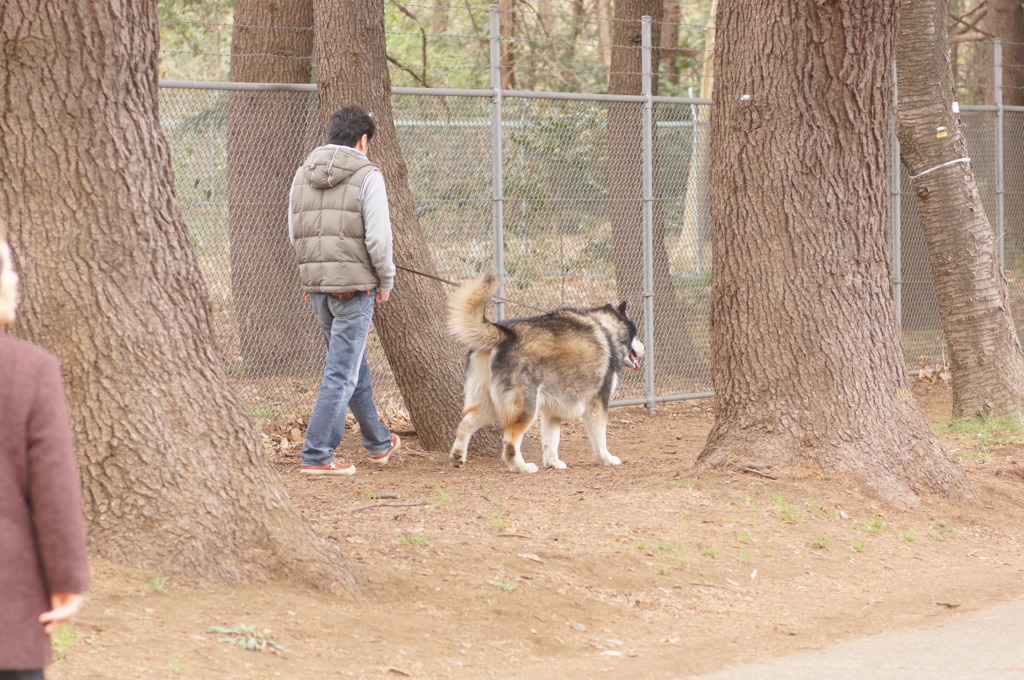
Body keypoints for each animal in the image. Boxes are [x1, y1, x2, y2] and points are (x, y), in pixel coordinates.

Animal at [446, 270, 643, 473]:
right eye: (636, 335)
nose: (643, 348)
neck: (606, 330)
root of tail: (505, 333)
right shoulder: (597, 403)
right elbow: (600, 438)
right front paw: (606, 458)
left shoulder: (551, 411)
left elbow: (551, 441)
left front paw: (553, 463)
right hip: (525, 408)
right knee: (509, 442)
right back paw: (521, 467)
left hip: (490, 404)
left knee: (465, 424)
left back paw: (458, 456)